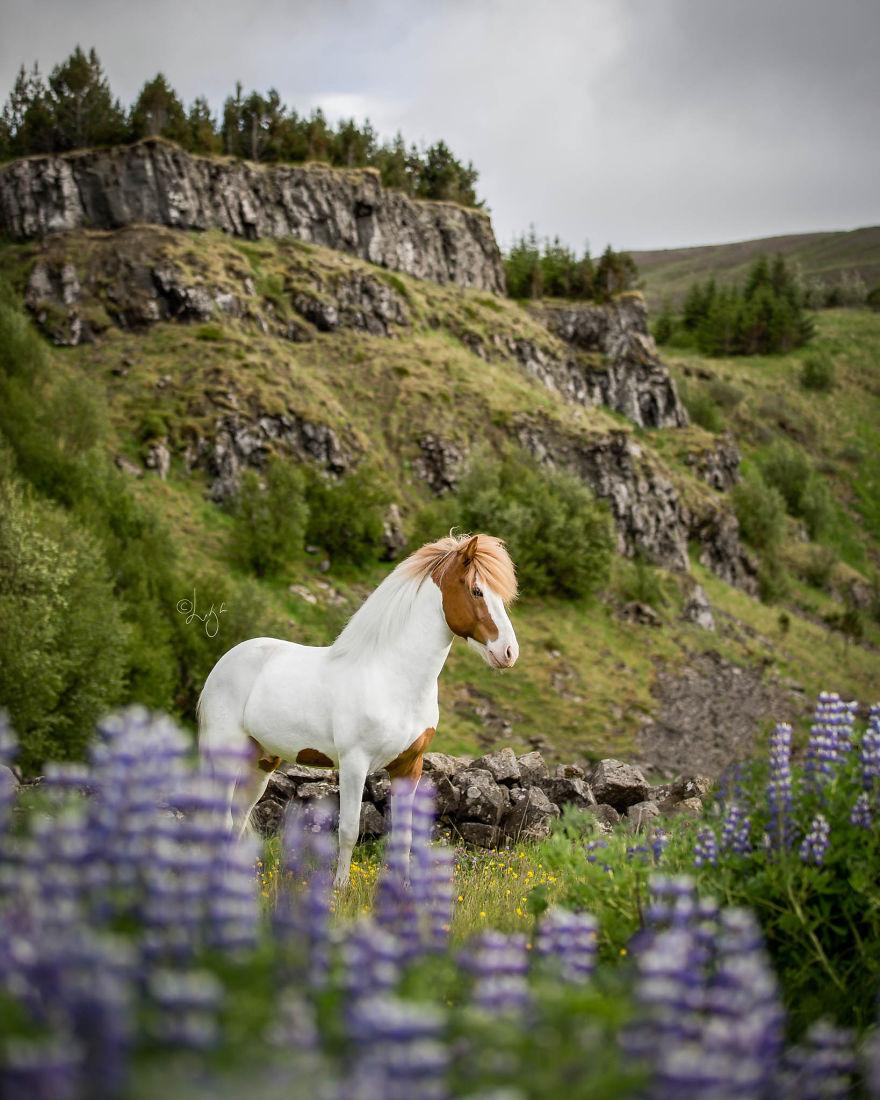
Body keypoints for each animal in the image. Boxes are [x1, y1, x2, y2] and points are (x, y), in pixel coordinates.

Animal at [198, 532, 514, 884]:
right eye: (476, 590)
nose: (509, 652)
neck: (393, 678)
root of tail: (224, 662)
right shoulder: (354, 764)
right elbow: (349, 830)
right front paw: (340, 888)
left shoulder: (409, 766)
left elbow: (404, 837)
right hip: (226, 754)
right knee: (223, 819)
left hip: (262, 760)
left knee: (239, 817)